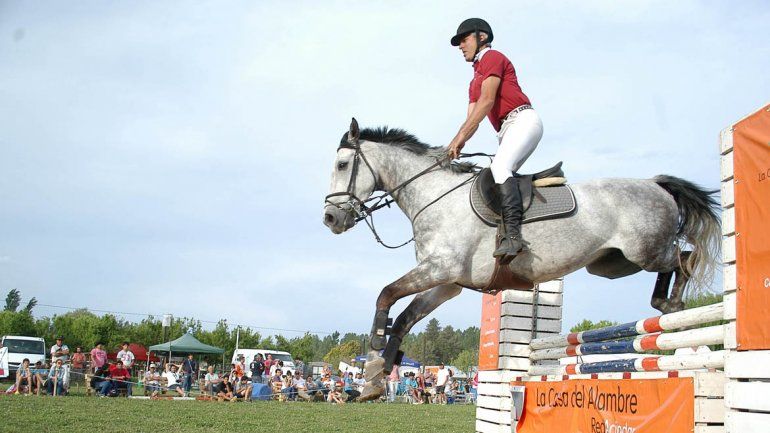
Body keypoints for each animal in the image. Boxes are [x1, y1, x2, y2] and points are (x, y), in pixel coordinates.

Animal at [323, 118, 720, 401]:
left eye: (342, 164)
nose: (330, 218)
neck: (435, 196)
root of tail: (655, 184)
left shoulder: (439, 269)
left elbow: (386, 293)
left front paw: (375, 346)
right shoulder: (446, 283)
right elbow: (405, 317)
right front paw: (377, 375)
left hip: (644, 250)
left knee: (684, 258)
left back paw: (673, 304)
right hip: (613, 263)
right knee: (674, 262)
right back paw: (666, 305)